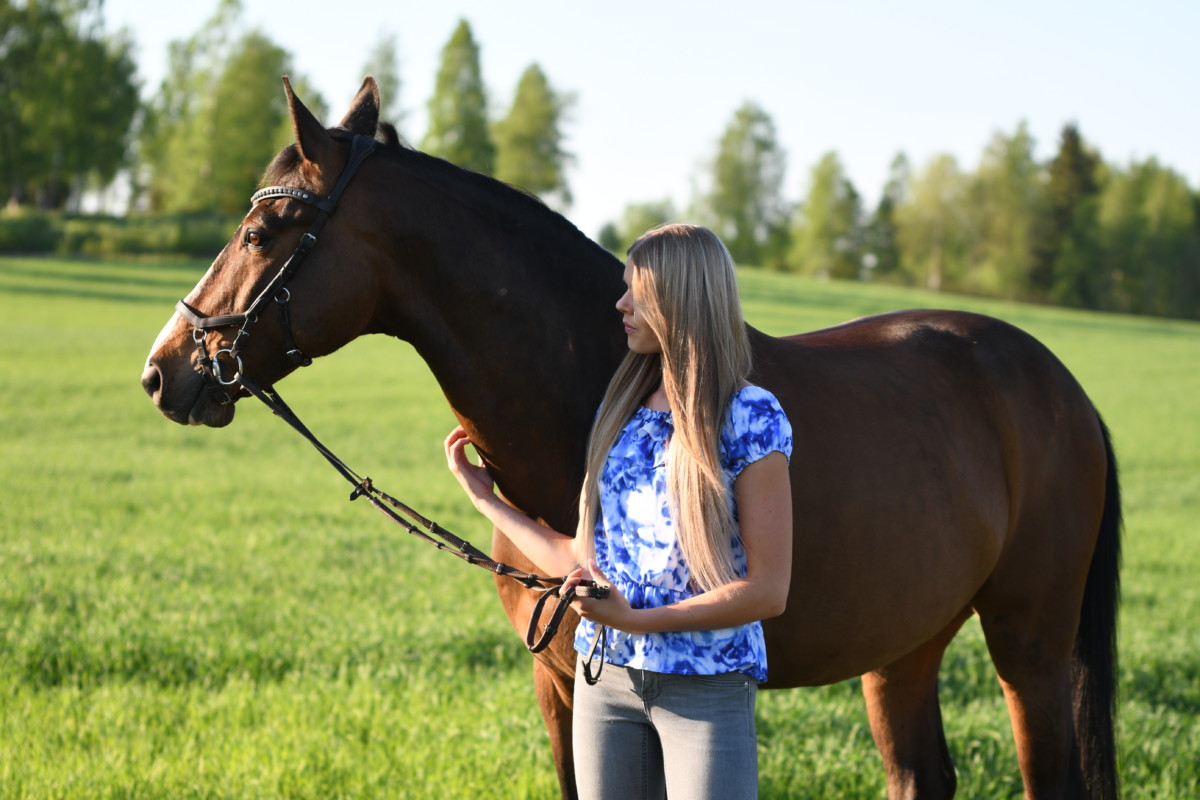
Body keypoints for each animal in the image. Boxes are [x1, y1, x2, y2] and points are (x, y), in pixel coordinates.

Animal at [142, 79, 1123, 800]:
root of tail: (1063, 387)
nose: (163, 370)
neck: (583, 400)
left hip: (1031, 645)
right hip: (906, 642)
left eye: (260, 231)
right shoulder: (562, 683)